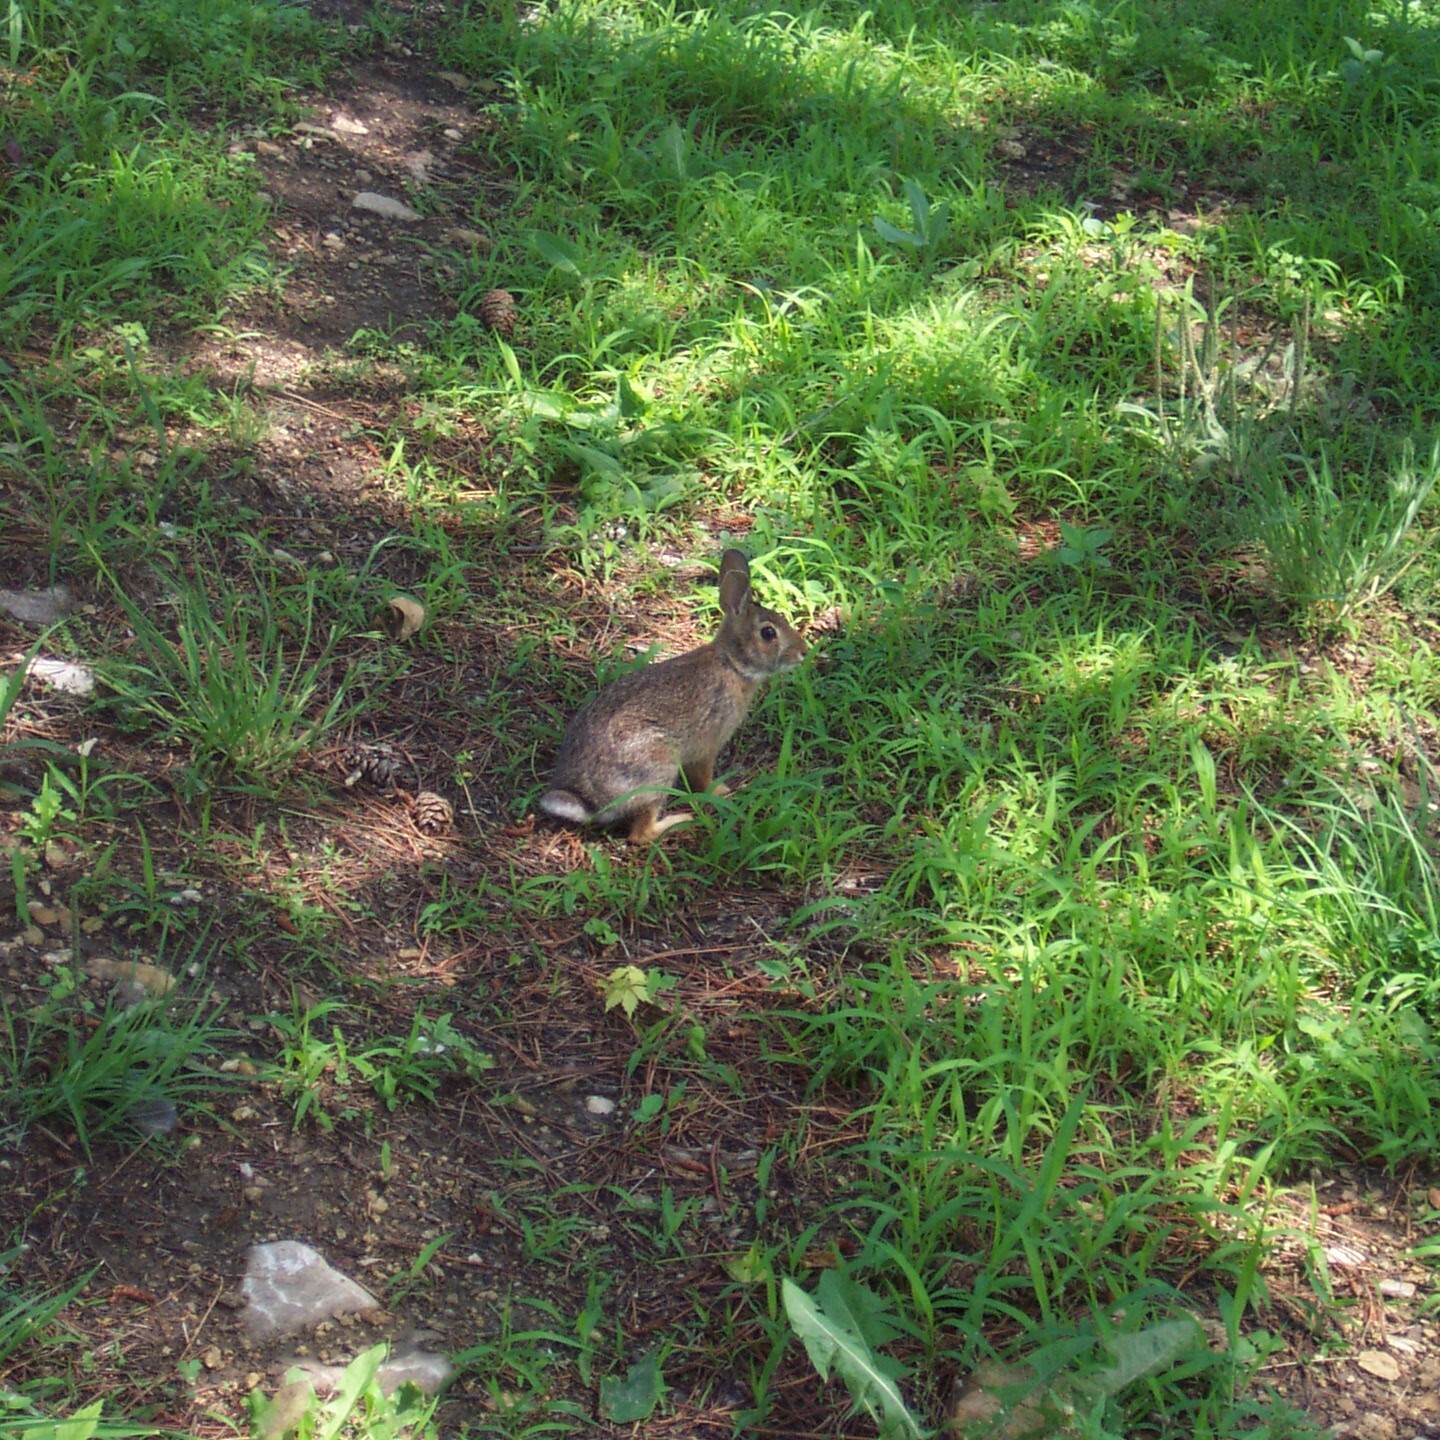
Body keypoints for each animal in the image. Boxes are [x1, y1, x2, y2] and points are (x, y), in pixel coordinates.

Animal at [538, 549, 807, 843]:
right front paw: (722, 792)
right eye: (768, 633)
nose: (803, 652)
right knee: (641, 834)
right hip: (658, 770)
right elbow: (703, 777)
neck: (732, 664)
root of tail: (591, 802)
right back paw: (681, 821)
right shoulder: (708, 744)